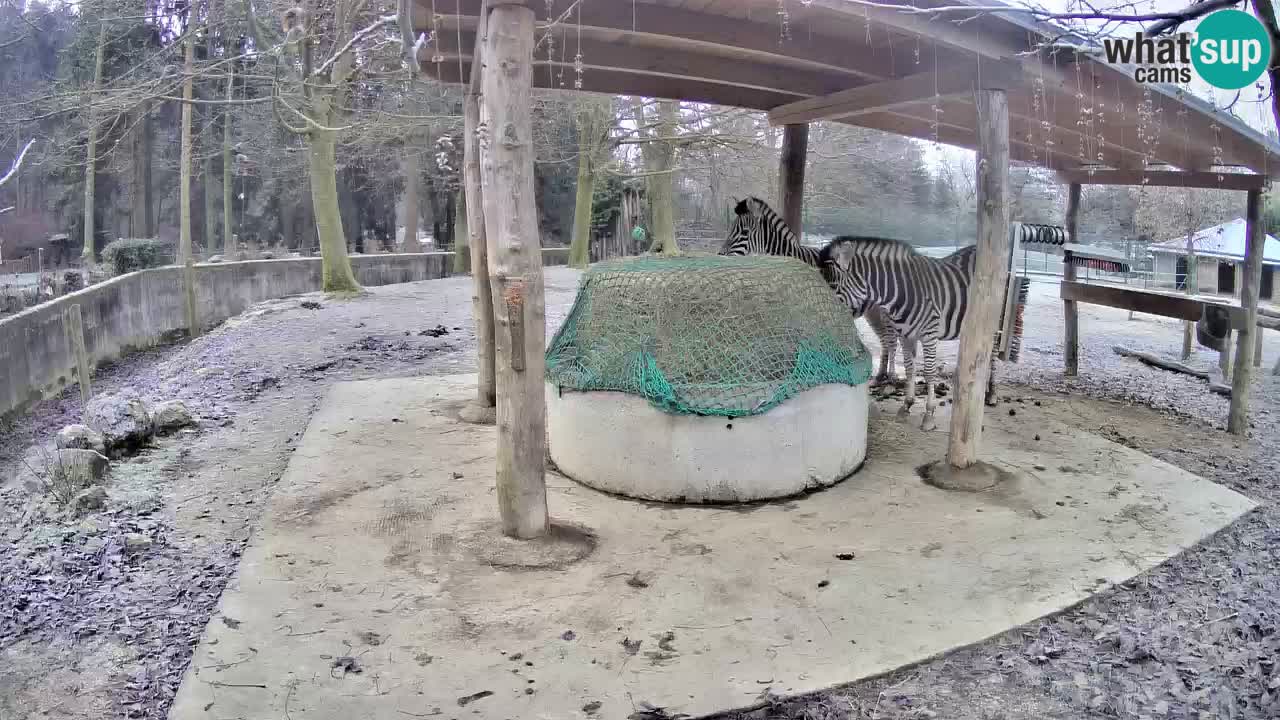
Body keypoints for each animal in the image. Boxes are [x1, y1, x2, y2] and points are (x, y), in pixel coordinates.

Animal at [716, 196, 906, 386]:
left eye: (744, 232)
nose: (720, 255)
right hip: (873, 311)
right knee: (884, 338)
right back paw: (880, 376)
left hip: (887, 311)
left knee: (892, 339)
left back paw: (891, 376)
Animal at [819, 235, 998, 427]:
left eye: (833, 288)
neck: (901, 292)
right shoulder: (905, 335)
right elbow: (909, 369)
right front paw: (907, 405)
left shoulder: (929, 334)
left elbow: (929, 372)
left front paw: (929, 415)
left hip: (996, 320)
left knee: (994, 356)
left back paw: (992, 394)